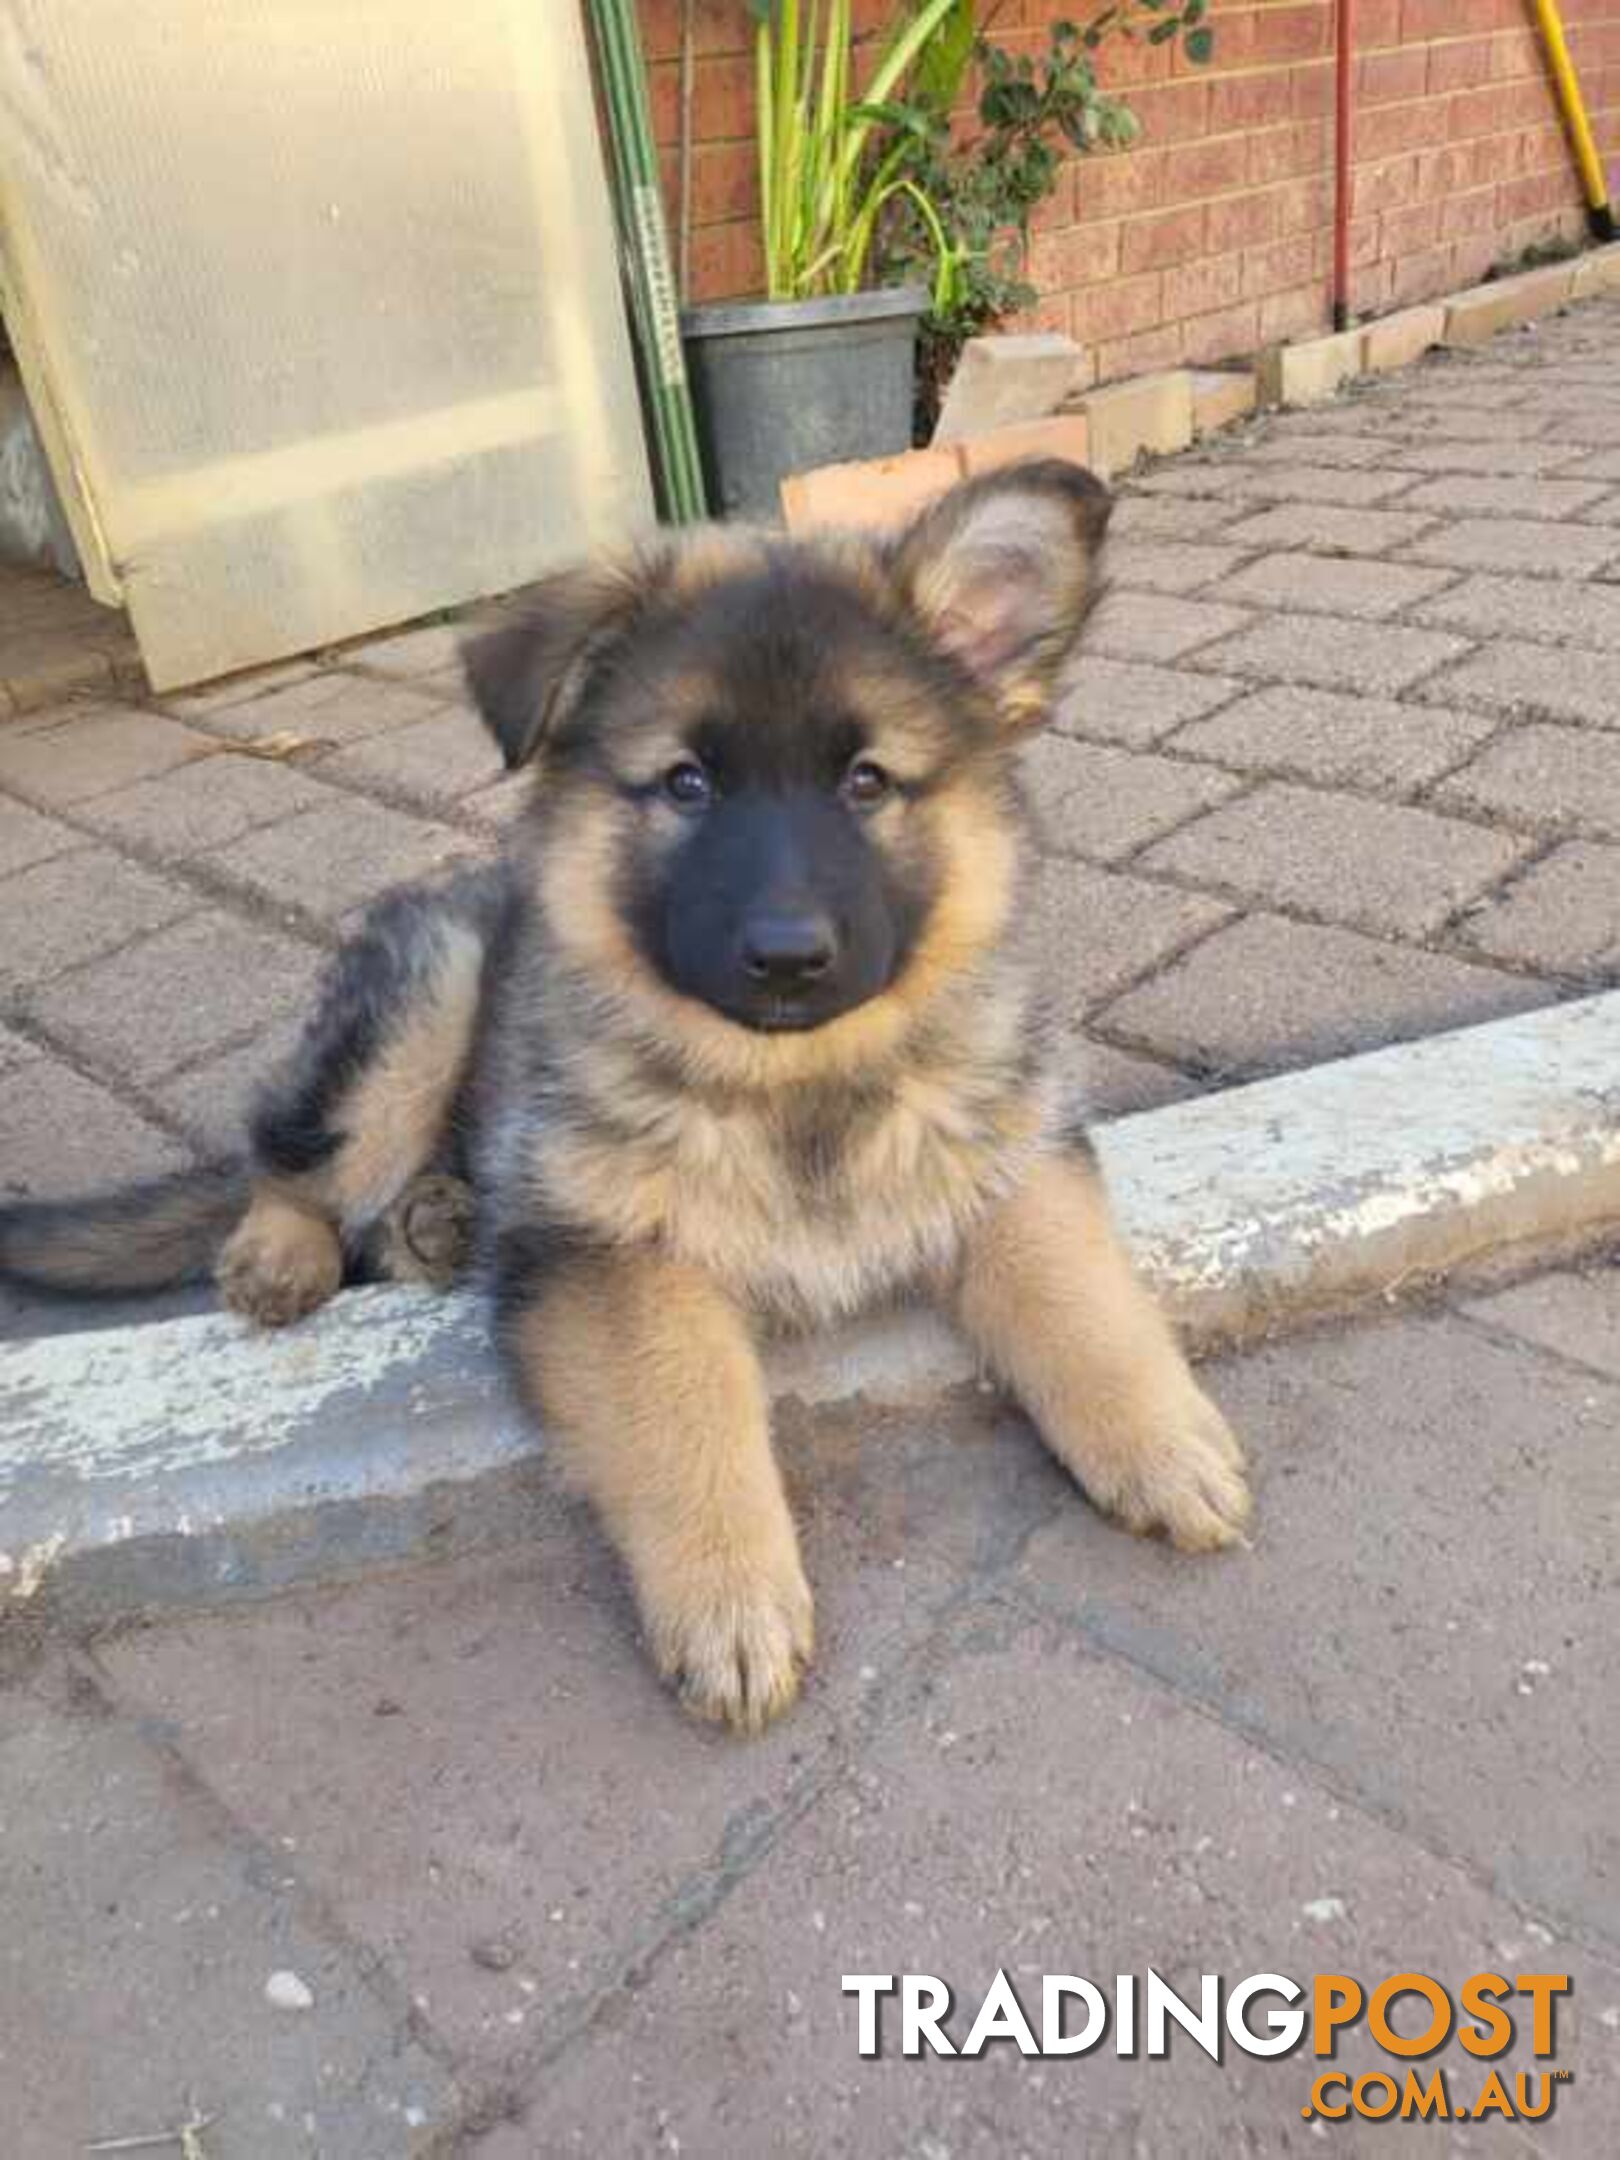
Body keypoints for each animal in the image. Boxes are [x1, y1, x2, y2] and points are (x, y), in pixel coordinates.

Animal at [0, 464, 1252, 1728]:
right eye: (686, 784)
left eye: (866, 782)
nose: (789, 956)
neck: (793, 1086)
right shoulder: (612, 1258)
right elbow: (681, 1415)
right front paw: (732, 1604)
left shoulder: (1012, 1157)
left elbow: (1080, 1299)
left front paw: (1163, 1443)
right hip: (431, 982)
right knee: (291, 1153)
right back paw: (282, 1252)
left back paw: (438, 1222)